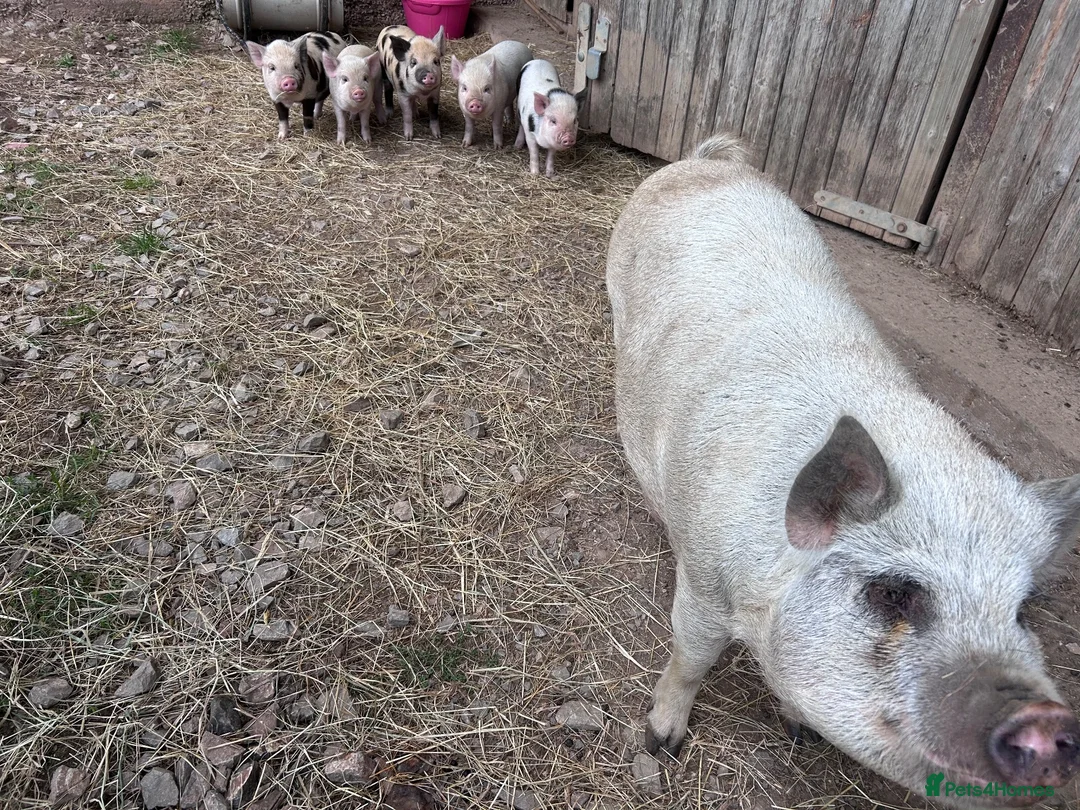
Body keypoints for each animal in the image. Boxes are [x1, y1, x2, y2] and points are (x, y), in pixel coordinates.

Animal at [606, 132, 1080, 806]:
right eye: (892, 593)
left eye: (1021, 612)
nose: (1048, 720)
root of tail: (707, 163)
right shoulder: (703, 578)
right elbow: (690, 658)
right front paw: (659, 743)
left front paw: (798, 729)